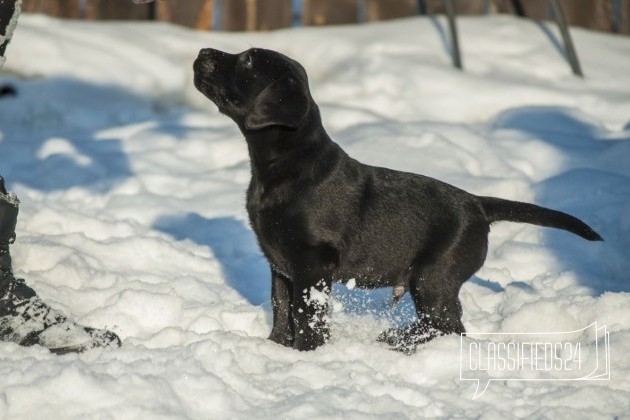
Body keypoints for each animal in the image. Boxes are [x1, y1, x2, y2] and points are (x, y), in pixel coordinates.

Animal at [191, 47, 604, 352]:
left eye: (247, 60)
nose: (203, 51)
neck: (284, 165)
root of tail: (477, 203)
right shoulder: (280, 262)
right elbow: (281, 306)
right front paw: (276, 346)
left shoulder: (312, 264)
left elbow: (306, 313)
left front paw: (307, 353)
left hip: (433, 276)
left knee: (448, 325)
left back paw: (396, 340)